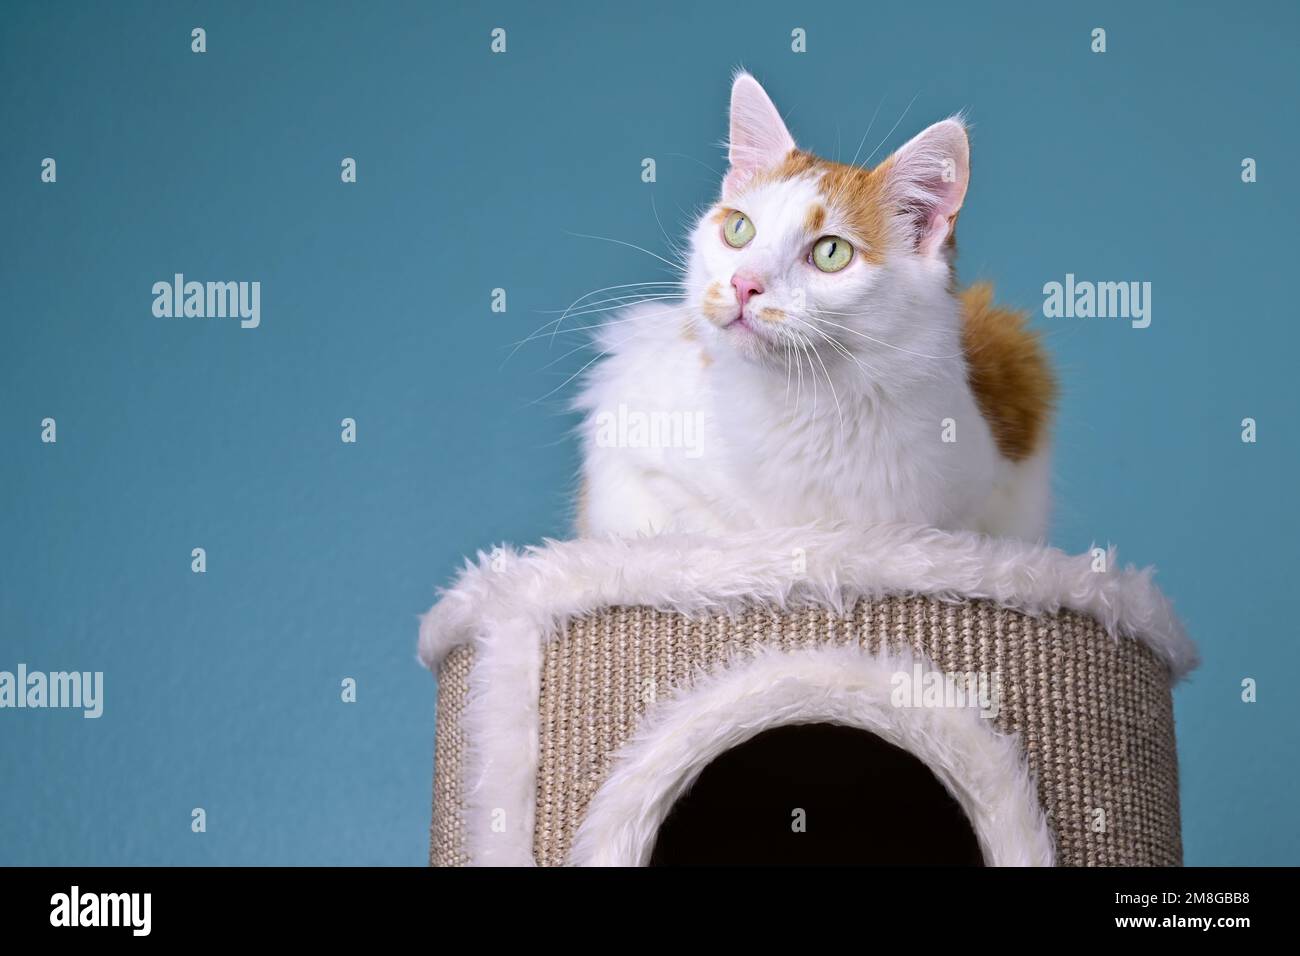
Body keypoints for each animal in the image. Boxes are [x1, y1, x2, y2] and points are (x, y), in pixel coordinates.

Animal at [574, 71, 1050, 541]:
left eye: (831, 252)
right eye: (739, 229)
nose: (744, 284)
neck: (808, 399)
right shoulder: (627, 428)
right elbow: (695, 523)